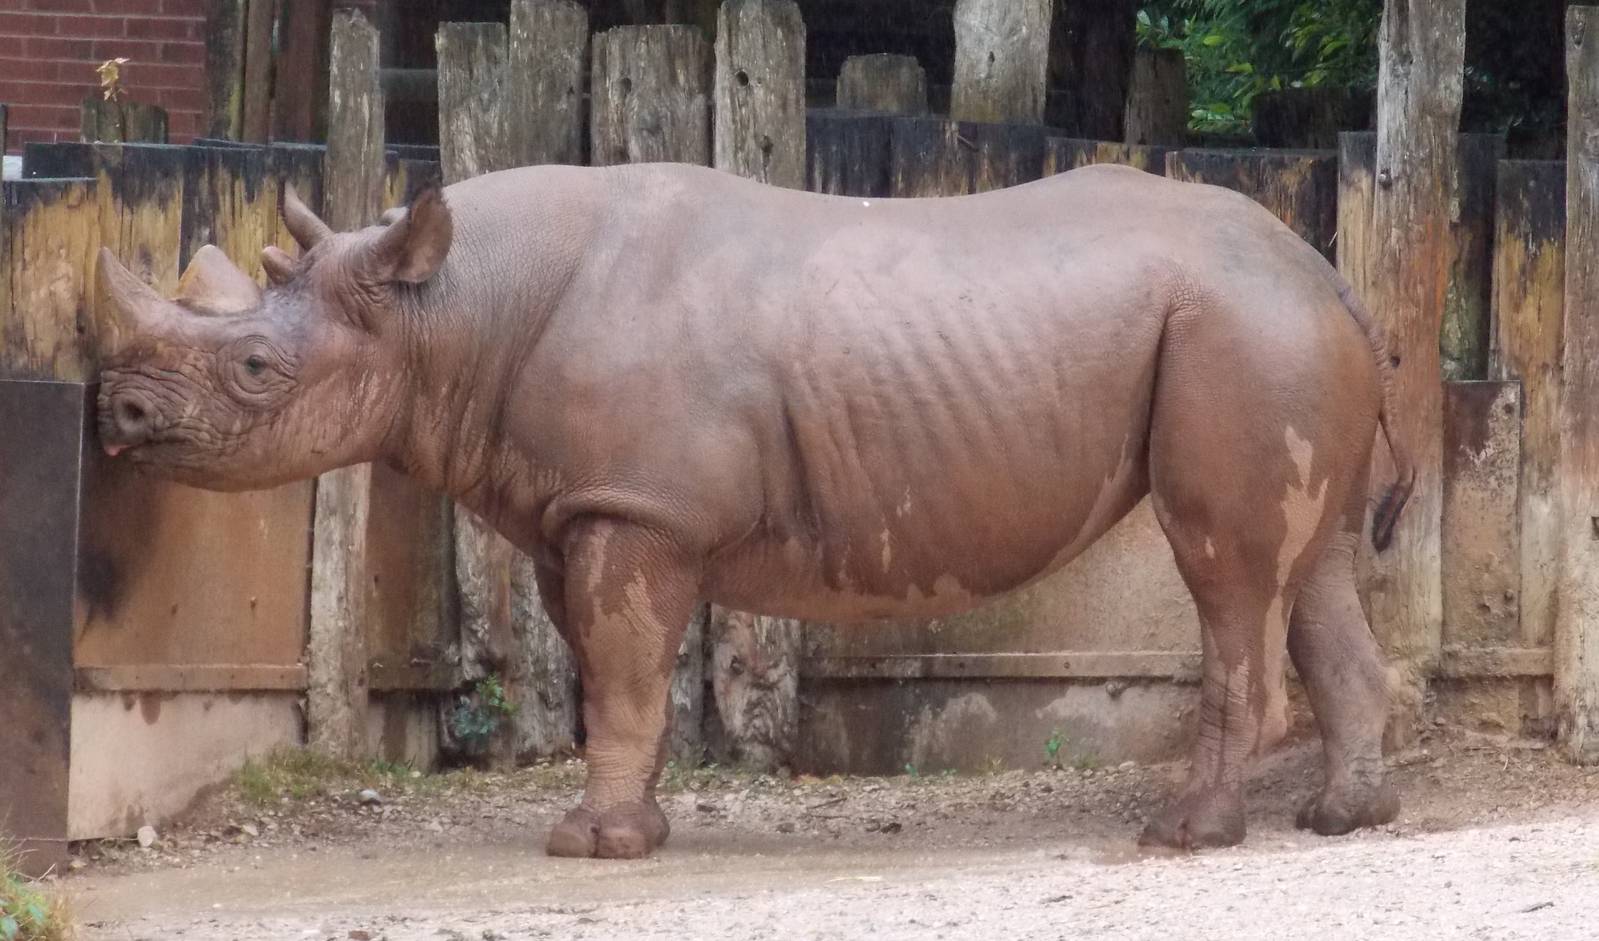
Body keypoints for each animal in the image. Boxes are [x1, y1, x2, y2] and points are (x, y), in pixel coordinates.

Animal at [95, 161, 1412, 858]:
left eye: (255, 371)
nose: (119, 413)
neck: (453, 306)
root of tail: (1331, 272)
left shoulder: (641, 510)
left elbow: (627, 669)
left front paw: (591, 846)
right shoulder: (588, 508)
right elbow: (607, 673)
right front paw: (633, 827)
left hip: (1242, 331)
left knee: (1228, 574)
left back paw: (1184, 831)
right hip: (1278, 331)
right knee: (1311, 572)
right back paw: (1346, 818)